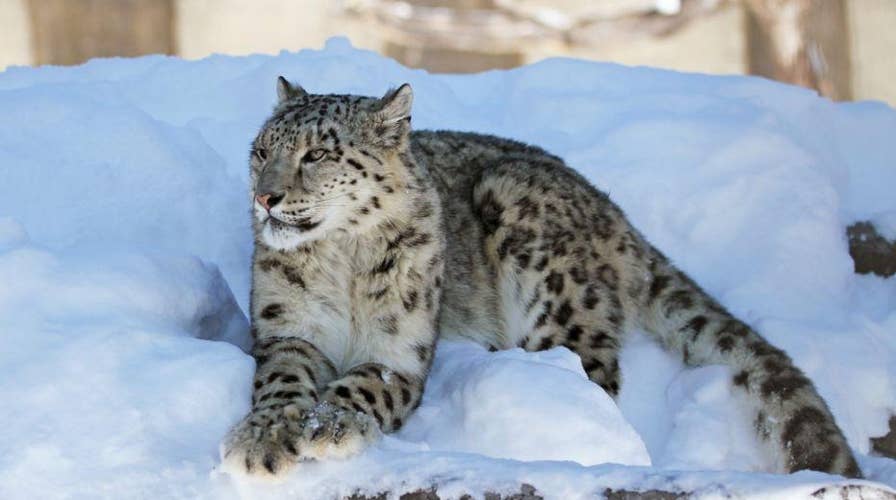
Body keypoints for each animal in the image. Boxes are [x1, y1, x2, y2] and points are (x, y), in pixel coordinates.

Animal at [220, 78, 864, 480]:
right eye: (260, 150)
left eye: (317, 154)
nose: (264, 196)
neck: (344, 263)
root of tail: (619, 218)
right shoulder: (288, 329)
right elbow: (281, 381)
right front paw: (261, 441)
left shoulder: (401, 350)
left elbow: (365, 385)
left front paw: (328, 426)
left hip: (545, 268)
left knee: (591, 375)